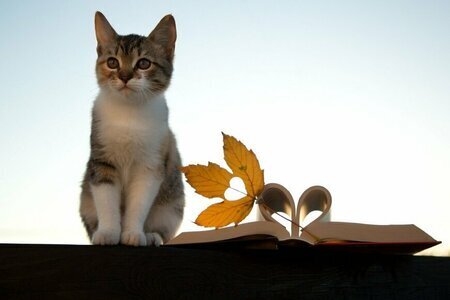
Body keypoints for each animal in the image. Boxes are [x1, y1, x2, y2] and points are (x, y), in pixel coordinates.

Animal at [79, 11, 185, 246]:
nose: (125, 76)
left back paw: (152, 235)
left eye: (144, 63)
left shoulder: (150, 166)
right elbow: (106, 201)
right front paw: (108, 232)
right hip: (85, 200)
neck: (129, 113)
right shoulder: (102, 161)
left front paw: (133, 233)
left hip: (172, 204)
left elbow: (138, 204)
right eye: (112, 62)